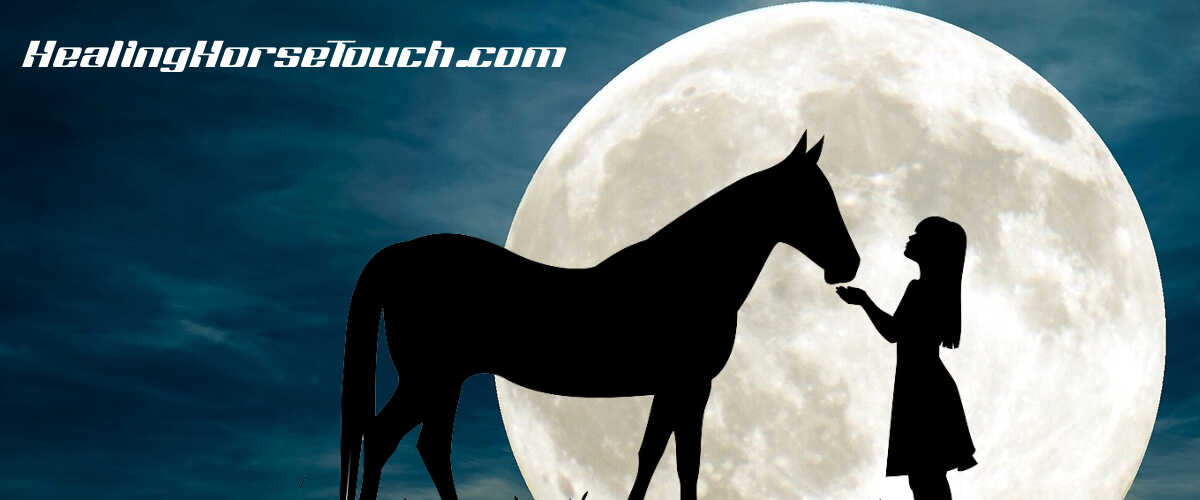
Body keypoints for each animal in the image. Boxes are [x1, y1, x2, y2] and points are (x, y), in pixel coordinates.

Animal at [338, 131, 860, 500]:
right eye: (813, 199)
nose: (849, 265)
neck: (688, 274)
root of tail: (400, 254)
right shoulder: (688, 384)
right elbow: (674, 460)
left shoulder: (679, 387)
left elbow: (663, 458)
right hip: (429, 379)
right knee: (384, 437)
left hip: (446, 382)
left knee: (427, 446)